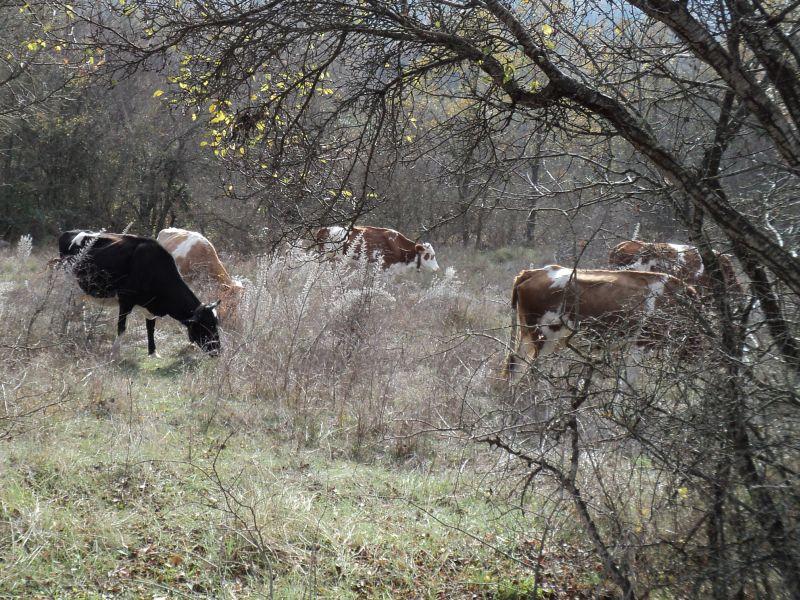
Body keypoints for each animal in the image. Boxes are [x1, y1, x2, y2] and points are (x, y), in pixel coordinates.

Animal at [56, 231, 220, 358]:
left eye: (216, 324)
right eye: (205, 326)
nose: (218, 351)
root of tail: (67, 233)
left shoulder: (151, 304)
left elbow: (150, 326)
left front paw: (153, 353)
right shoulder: (125, 300)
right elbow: (122, 327)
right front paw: (115, 354)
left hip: (81, 290)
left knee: (79, 308)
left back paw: (83, 334)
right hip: (69, 285)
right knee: (66, 308)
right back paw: (63, 333)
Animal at [506, 266, 700, 384]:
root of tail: (534, 272)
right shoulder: (642, 344)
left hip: (527, 337)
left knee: (515, 367)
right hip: (546, 339)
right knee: (532, 375)